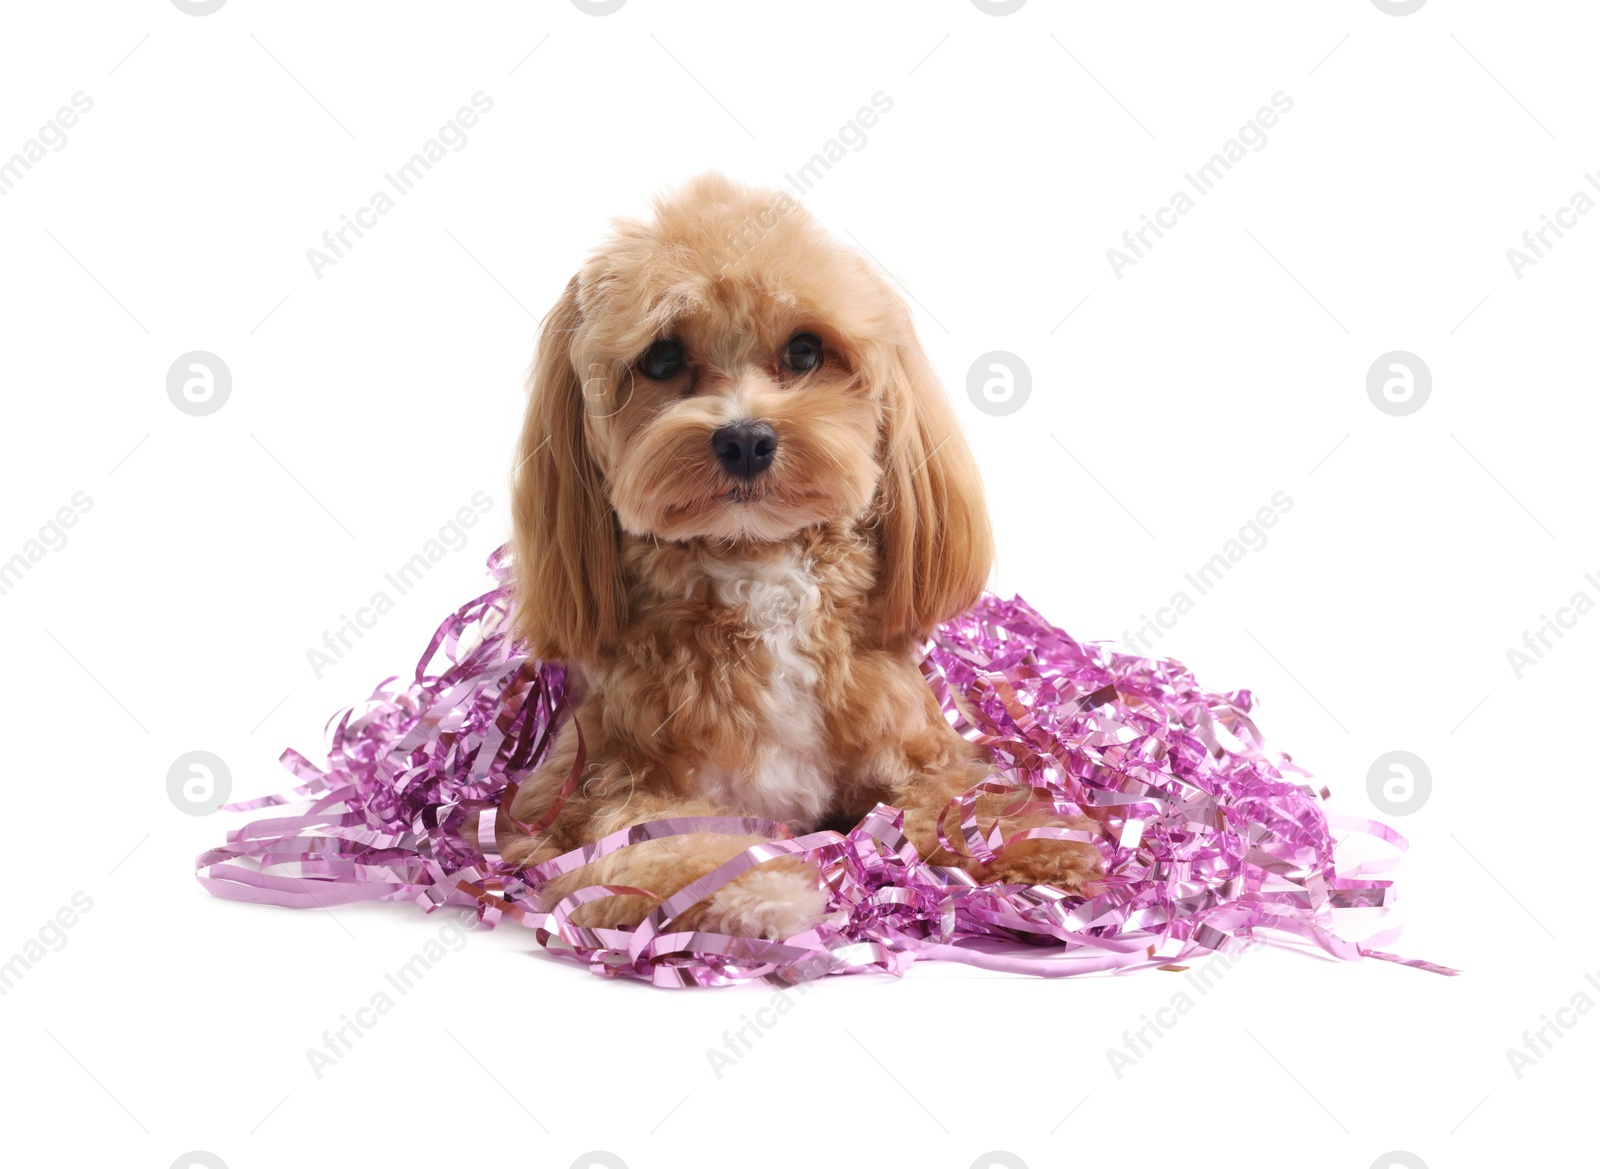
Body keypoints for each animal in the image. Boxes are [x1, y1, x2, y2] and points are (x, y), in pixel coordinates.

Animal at [496, 175, 1100, 940]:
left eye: (806, 351)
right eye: (662, 358)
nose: (746, 439)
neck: (759, 569)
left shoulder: (919, 747)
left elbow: (968, 797)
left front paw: (1043, 843)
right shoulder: (579, 791)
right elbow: (653, 844)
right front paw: (756, 886)